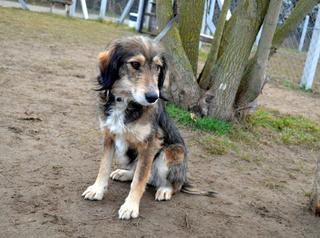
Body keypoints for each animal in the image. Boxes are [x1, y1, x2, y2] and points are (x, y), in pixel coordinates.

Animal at [81, 35, 214, 219]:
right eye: (135, 64)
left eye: (158, 67)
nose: (153, 97)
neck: (125, 101)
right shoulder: (109, 136)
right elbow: (104, 167)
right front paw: (97, 189)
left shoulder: (150, 144)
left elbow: (139, 180)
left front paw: (130, 206)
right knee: (142, 173)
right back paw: (124, 173)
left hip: (173, 151)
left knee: (172, 184)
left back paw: (165, 190)